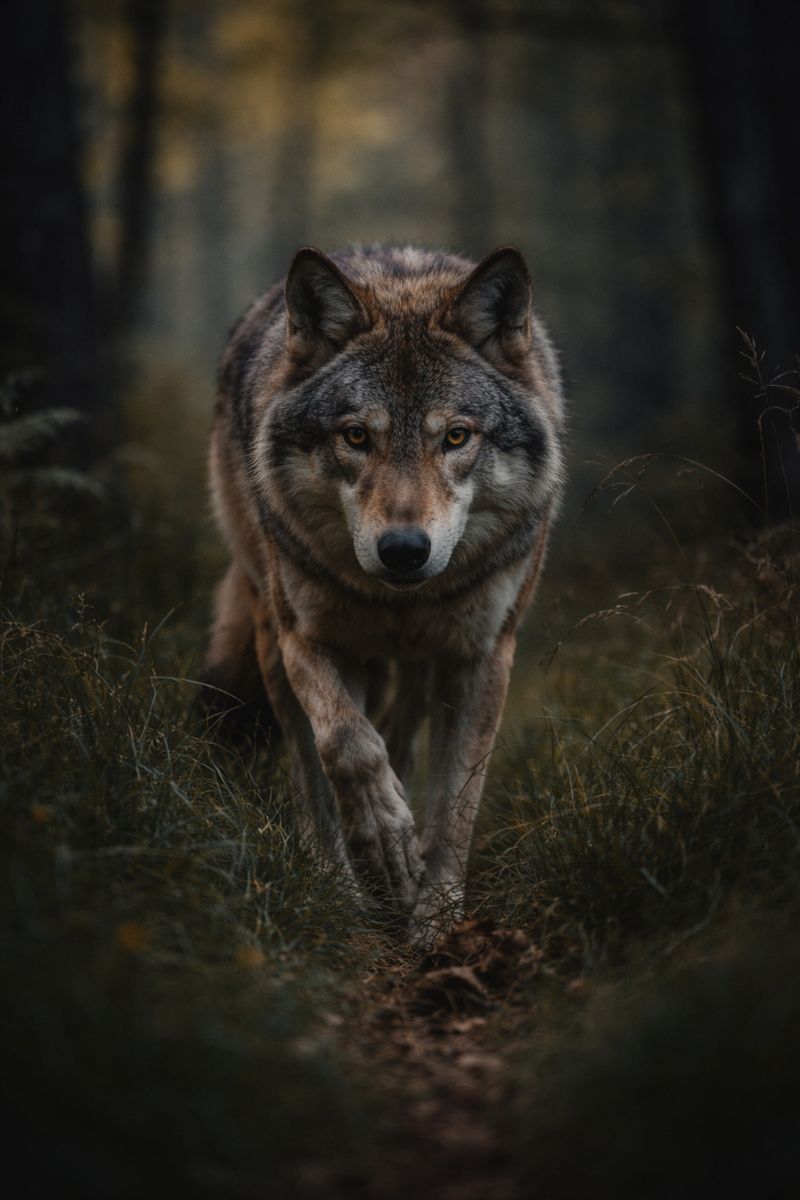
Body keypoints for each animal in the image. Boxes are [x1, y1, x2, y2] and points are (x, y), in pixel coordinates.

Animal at [204, 243, 565, 944]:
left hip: (422, 664)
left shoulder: (481, 656)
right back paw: (348, 883)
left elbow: (457, 800)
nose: (403, 549)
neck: (397, 601)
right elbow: (347, 745)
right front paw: (380, 844)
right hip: (273, 633)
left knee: (401, 725)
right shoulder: (304, 639)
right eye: (355, 436)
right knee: (319, 769)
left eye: (456, 437)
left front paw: (434, 914)